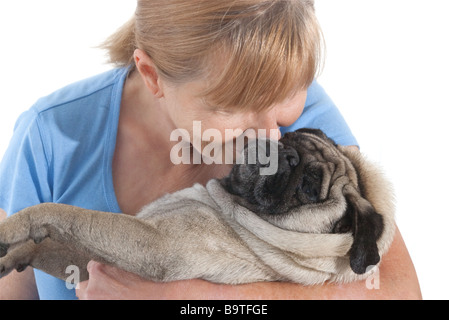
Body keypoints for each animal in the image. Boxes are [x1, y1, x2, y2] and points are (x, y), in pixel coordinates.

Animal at [0, 129, 394, 286]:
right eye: (288, 136)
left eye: (311, 188)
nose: (287, 153)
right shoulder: (87, 261)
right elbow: (53, 246)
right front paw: (16, 254)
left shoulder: (151, 244)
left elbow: (66, 213)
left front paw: (14, 227)